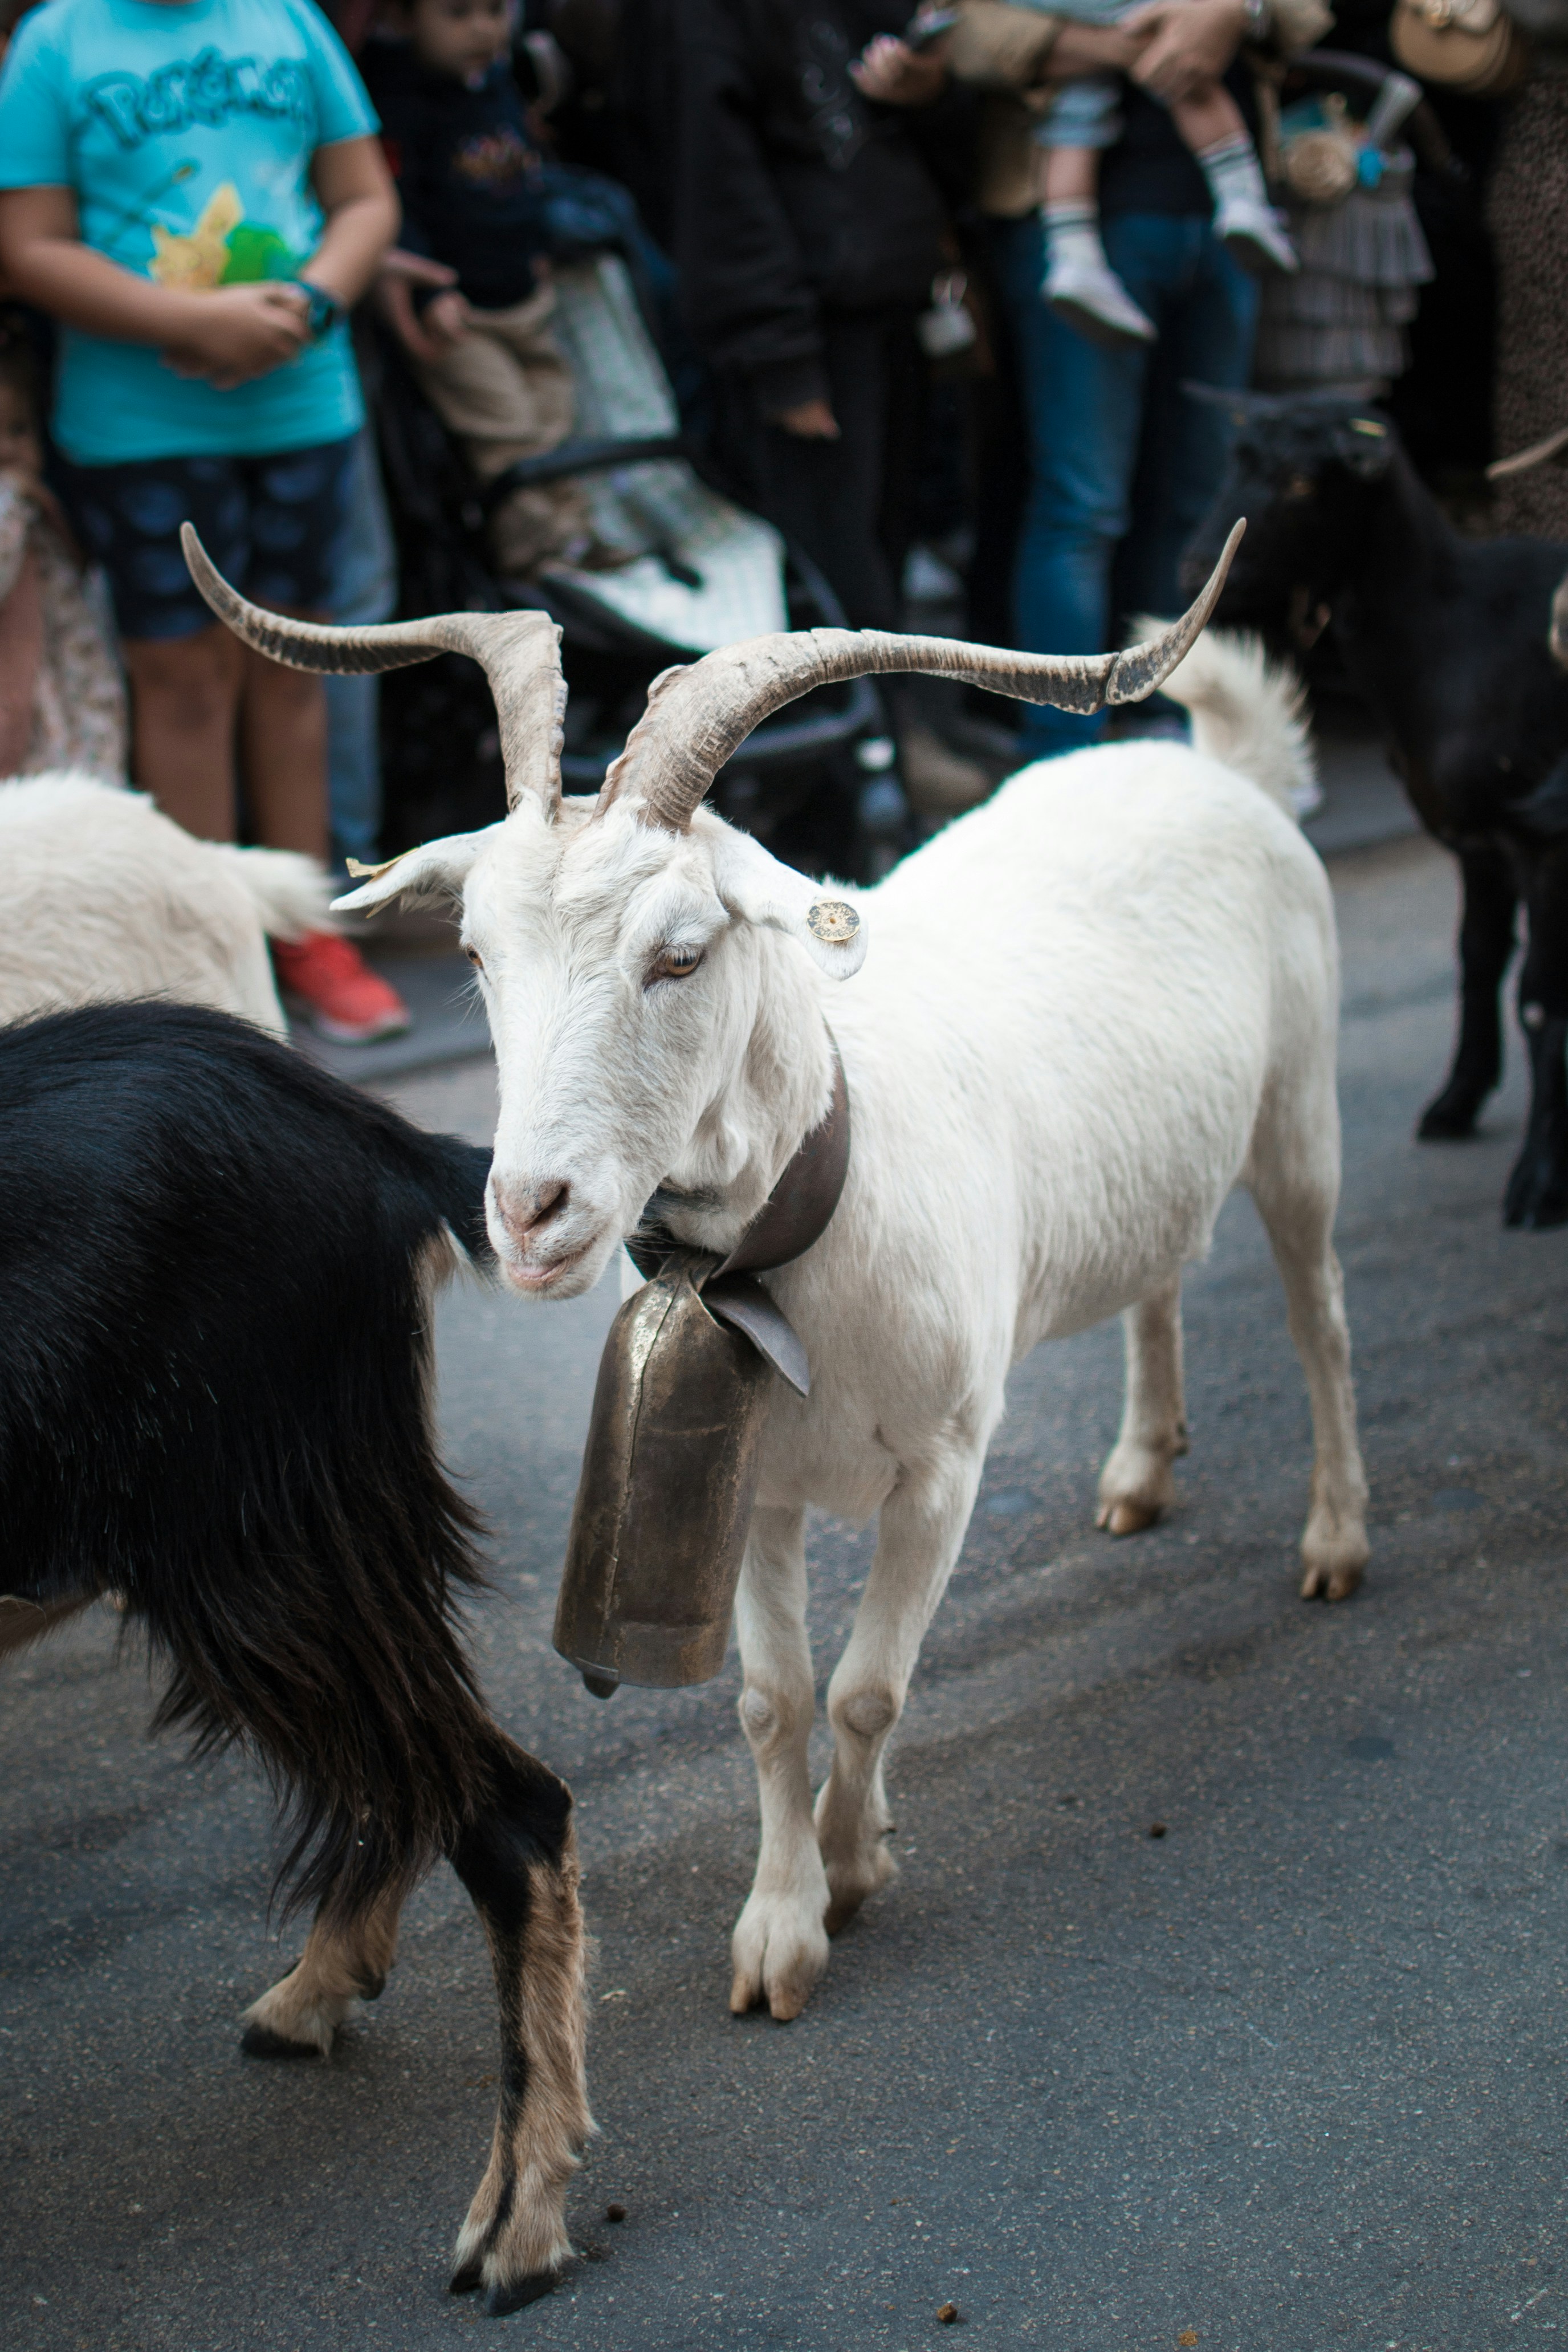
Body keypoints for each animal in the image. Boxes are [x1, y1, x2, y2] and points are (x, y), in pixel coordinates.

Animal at [0, 1002, 589, 2316]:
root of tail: (361, 1136)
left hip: (258, 1538)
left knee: (504, 1807)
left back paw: (517, 2216)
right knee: (411, 1775)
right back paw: (324, 1983)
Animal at [185, 521, 1369, 2028]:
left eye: (682, 952)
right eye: (475, 953)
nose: (527, 1212)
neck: (829, 1196)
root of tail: (1214, 766)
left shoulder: (945, 1467)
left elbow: (867, 1690)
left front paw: (853, 1871)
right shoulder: (752, 1483)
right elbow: (774, 1700)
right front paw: (778, 1925)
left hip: (1301, 1117)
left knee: (1318, 1315)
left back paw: (1335, 1539)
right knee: (1159, 1274)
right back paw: (1138, 1472)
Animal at [1183, 388, 1568, 1229]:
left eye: (1301, 482)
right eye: (1232, 460)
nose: (1194, 563)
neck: (1456, 635)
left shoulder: (1538, 842)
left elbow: (1534, 994)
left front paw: (1537, 1178)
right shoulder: (1474, 843)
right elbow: (1474, 958)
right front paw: (1455, 1101)